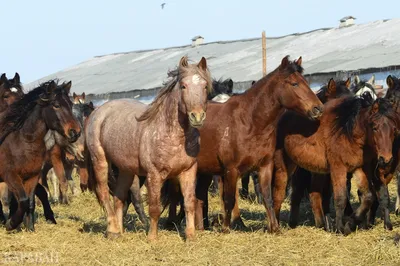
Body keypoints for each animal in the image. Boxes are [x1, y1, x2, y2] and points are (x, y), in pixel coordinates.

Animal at [0, 79, 80, 231]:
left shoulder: (32, 176)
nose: (76, 132)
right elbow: (23, 200)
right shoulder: (11, 176)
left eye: (71, 104)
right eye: (56, 105)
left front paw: (29, 228)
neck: (24, 142)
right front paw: (11, 224)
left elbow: (30, 202)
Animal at [86, 57, 212, 240]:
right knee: (103, 193)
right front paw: (152, 237)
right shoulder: (154, 175)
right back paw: (112, 230)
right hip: (100, 160)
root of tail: (98, 112)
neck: (174, 136)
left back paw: (120, 230)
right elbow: (154, 207)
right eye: (183, 86)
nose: (197, 117)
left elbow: (189, 203)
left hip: (126, 169)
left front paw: (190, 236)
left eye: (204, 85)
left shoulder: (188, 171)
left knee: (119, 197)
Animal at [272, 92, 396, 235]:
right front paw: (341, 228)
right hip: (287, 166)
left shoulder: (358, 168)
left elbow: (368, 197)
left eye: (394, 129)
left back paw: (321, 225)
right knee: (282, 192)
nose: (386, 159)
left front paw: (350, 223)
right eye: (375, 127)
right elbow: (340, 198)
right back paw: (279, 225)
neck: (347, 132)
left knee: (314, 193)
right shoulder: (338, 168)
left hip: (315, 169)